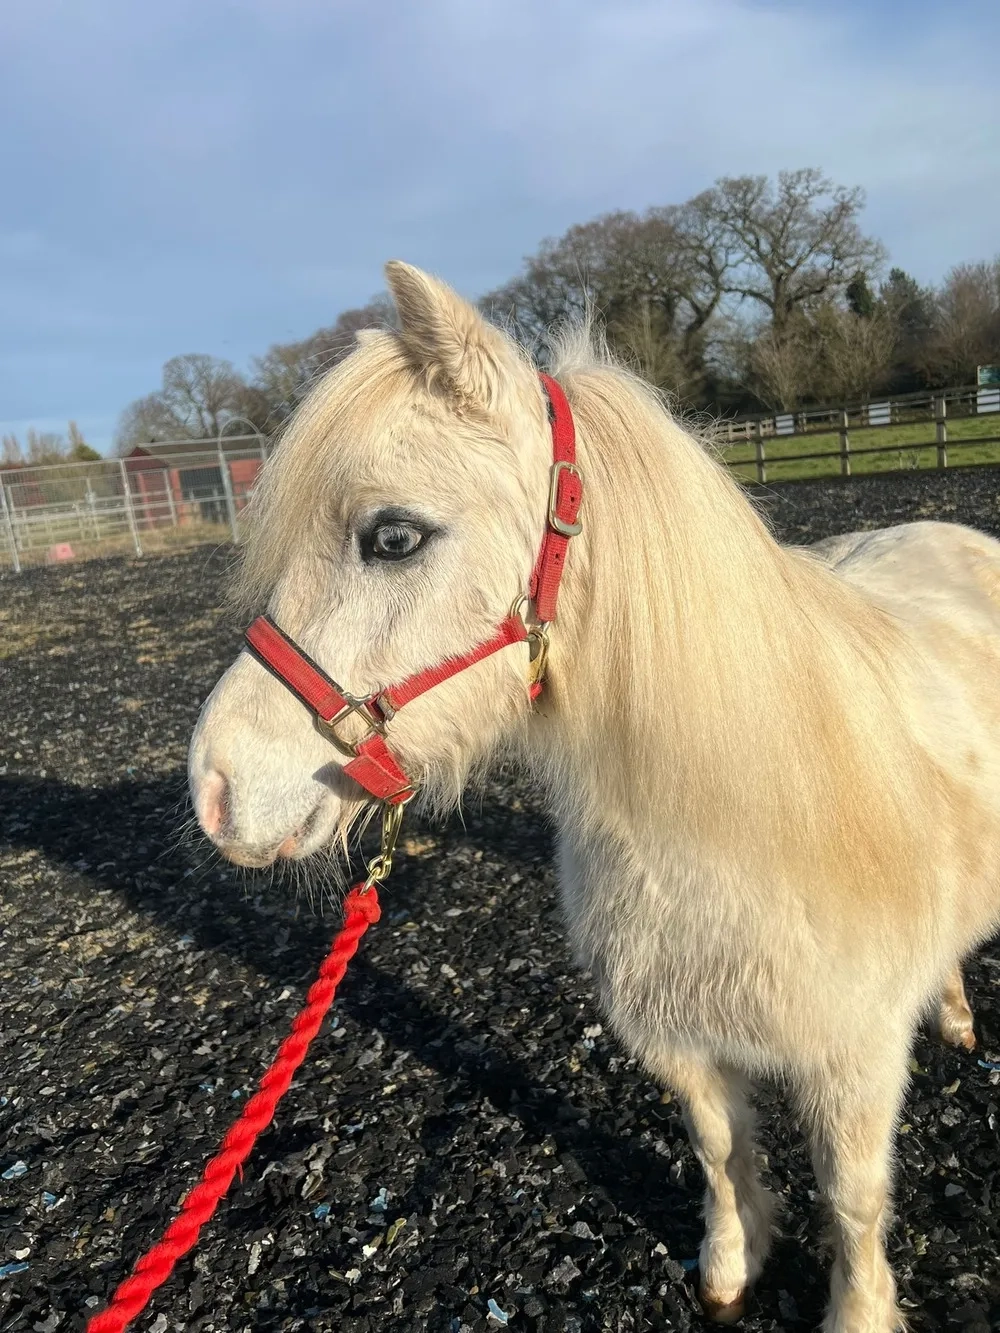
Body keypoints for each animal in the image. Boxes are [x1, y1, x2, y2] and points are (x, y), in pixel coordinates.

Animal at [189, 262, 1000, 1332]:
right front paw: (730, 1270)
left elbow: (854, 1200)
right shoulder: (681, 1041)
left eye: (394, 536)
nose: (213, 786)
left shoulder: (853, 1061)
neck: (737, 816)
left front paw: (857, 1312)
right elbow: (721, 1153)